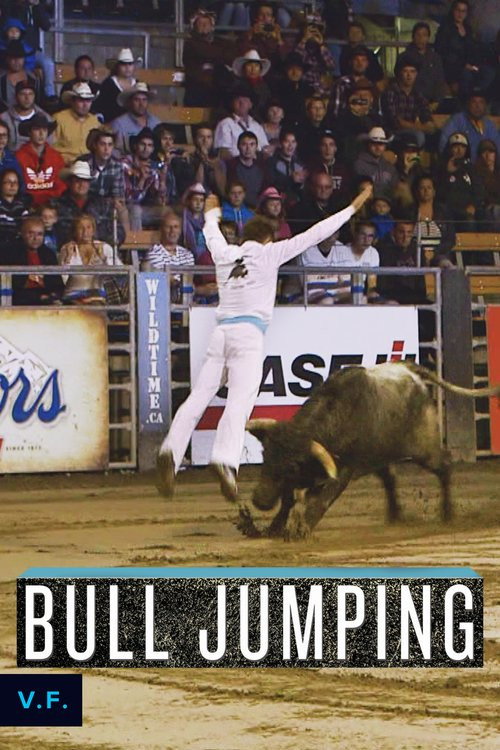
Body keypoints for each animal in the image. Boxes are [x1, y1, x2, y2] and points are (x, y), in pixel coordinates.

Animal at [244, 362, 500, 540]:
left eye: (292, 466)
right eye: (265, 455)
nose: (259, 499)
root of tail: (410, 369)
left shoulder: (344, 469)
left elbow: (323, 499)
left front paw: (301, 530)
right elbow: (288, 499)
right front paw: (274, 528)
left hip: (423, 448)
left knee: (444, 466)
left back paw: (447, 515)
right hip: (381, 454)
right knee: (390, 479)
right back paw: (395, 516)